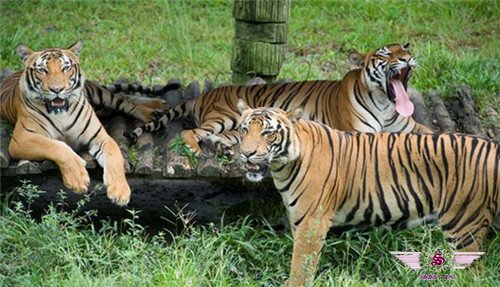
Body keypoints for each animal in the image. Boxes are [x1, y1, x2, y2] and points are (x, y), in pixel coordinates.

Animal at [0, 41, 176, 207]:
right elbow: (57, 146)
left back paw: (155, 108)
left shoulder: (101, 137)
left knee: (124, 100)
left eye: (66, 68)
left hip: (100, 95)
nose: (57, 89)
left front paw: (120, 192)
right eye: (42, 70)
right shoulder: (21, 139)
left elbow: (115, 157)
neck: (61, 112)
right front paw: (77, 178)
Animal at [123, 42, 432, 155]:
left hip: (237, 128)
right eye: (385, 54)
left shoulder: (411, 126)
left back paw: (221, 147)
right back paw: (197, 149)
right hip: (226, 117)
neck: (385, 104)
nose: (407, 58)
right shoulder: (359, 132)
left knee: (225, 138)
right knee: (191, 131)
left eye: (404, 48)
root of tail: (208, 93)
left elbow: (433, 131)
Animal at [236, 100, 498, 286]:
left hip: (464, 226)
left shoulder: (312, 222)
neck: (282, 167)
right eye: (244, 130)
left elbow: (301, 263)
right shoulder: (298, 219)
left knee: (474, 274)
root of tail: (492, 145)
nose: (247, 154)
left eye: (268, 133)